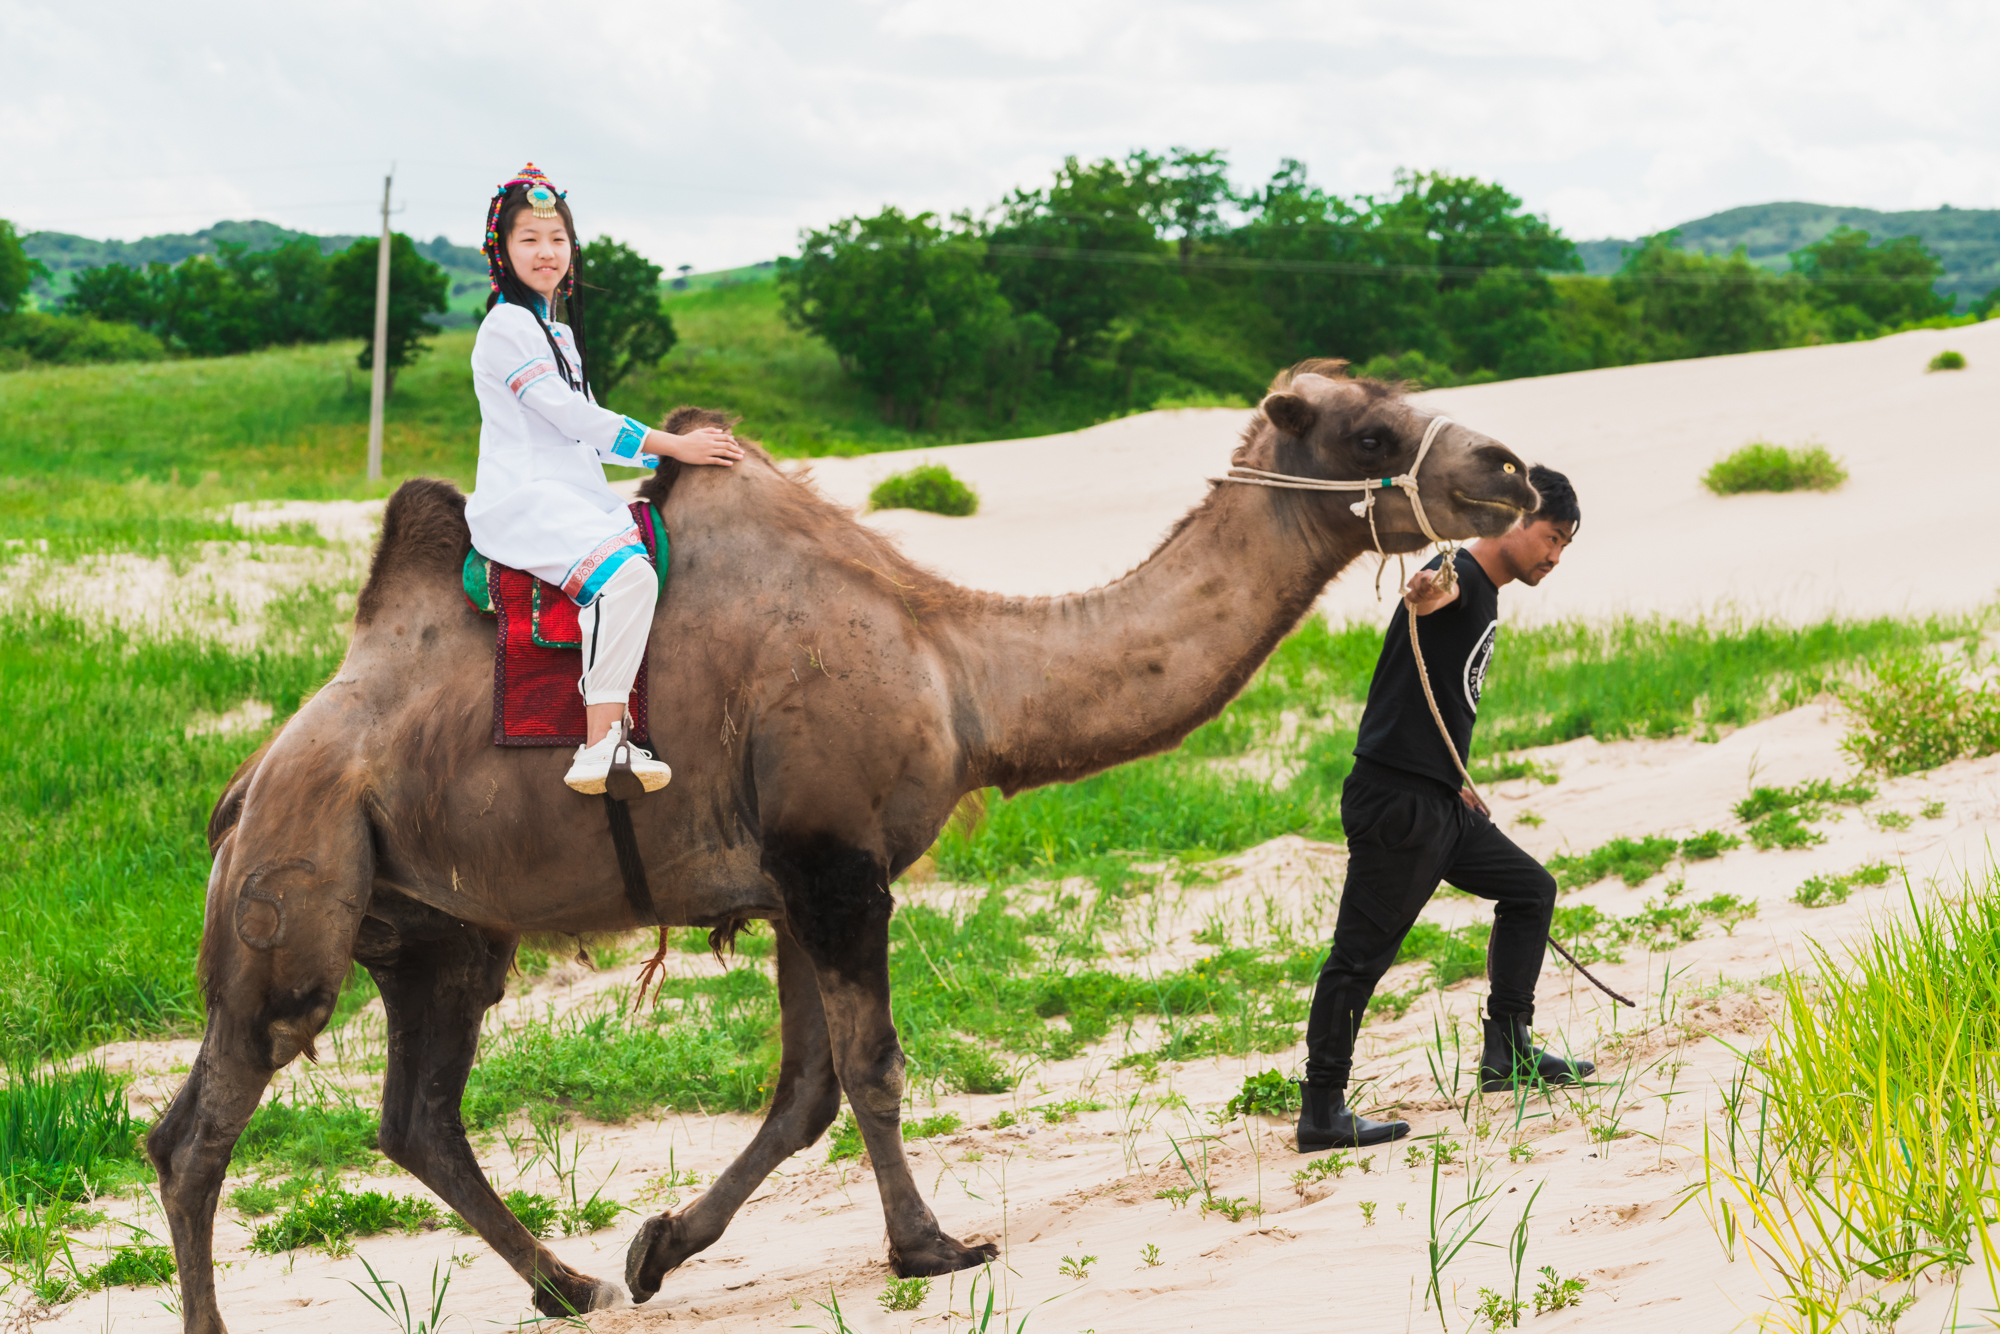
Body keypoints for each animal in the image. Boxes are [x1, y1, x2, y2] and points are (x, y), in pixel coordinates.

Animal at [148, 360, 1528, 1328]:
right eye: (1366, 432)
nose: (1522, 476)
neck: (956, 666)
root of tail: (245, 781)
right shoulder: (834, 866)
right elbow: (870, 1066)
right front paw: (933, 1246)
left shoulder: (794, 881)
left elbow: (805, 1086)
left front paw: (658, 1245)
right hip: (298, 880)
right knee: (204, 1122)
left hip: (436, 933)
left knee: (417, 1113)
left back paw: (572, 1283)